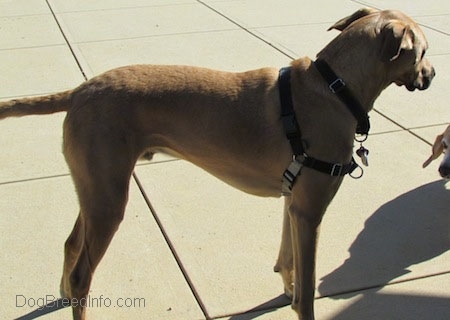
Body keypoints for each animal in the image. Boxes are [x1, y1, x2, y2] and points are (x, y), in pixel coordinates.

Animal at [0, 7, 436, 320]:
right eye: (424, 52)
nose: (432, 75)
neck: (334, 87)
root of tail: (79, 90)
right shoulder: (310, 211)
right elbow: (309, 289)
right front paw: (300, 300)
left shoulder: (293, 204)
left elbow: (287, 259)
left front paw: (286, 289)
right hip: (108, 197)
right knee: (82, 273)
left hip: (95, 187)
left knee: (72, 244)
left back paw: (62, 292)